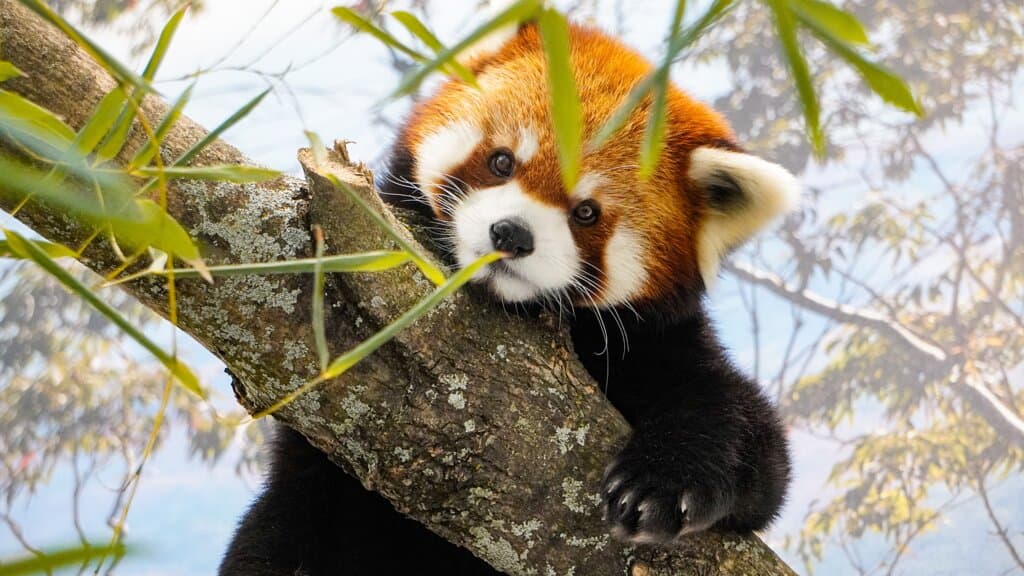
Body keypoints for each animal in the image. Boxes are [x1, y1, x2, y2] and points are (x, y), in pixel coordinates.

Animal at [220, 19, 795, 576]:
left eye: (586, 212)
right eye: (501, 162)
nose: (512, 234)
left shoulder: (655, 339)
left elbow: (756, 447)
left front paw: (661, 483)